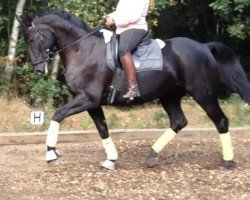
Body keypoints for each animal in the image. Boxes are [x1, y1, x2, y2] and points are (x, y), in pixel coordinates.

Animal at [21, 8, 250, 170]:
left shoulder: (88, 98)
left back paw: (226, 162)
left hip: (203, 93)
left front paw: (51, 153)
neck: (82, 50)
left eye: (31, 39)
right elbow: (102, 129)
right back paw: (152, 156)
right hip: (169, 96)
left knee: (221, 121)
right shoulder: (91, 103)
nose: (39, 70)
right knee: (178, 121)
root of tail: (203, 47)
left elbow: (57, 115)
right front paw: (111, 160)